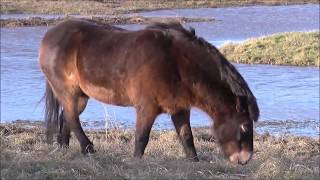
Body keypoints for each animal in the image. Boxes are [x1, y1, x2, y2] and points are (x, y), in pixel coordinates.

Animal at [39, 18, 260, 165]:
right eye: (245, 127)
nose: (245, 160)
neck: (176, 62)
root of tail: (49, 35)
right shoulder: (147, 108)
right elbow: (142, 137)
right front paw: (136, 162)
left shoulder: (179, 108)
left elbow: (187, 137)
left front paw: (194, 162)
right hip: (69, 93)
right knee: (72, 118)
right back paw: (88, 149)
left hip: (81, 97)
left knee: (67, 118)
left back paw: (65, 148)